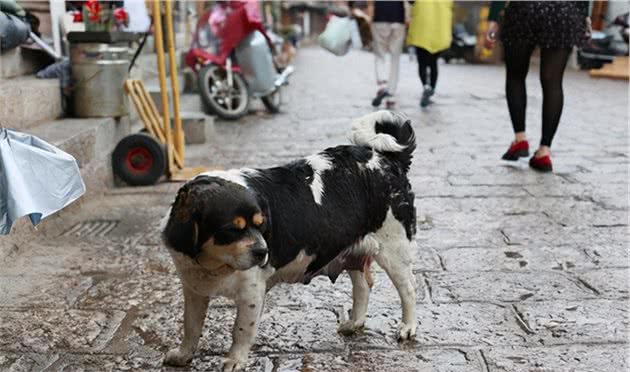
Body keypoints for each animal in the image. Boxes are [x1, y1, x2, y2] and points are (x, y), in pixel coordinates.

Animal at [163, 109, 418, 370]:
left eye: (261, 225)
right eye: (232, 229)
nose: (263, 252)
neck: (212, 265)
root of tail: (385, 158)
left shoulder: (251, 294)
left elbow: (241, 331)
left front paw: (235, 360)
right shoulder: (193, 290)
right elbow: (190, 327)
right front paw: (183, 355)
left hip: (394, 249)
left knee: (408, 288)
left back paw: (408, 327)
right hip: (352, 247)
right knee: (363, 286)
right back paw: (354, 323)